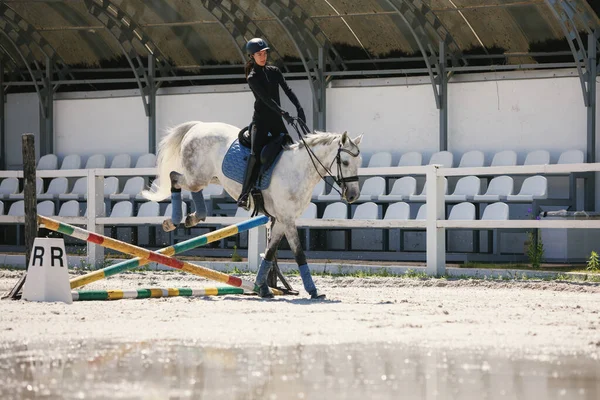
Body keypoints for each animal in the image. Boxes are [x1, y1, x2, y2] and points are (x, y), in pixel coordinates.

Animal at [143, 120, 364, 298]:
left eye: (359, 163)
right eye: (345, 162)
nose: (353, 195)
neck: (298, 170)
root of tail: (198, 125)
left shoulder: (282, 220)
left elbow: (269, 253)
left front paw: (262, 287)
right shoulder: (287, 219)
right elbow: (299, 253)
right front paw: (313, 291)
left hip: (209, 177)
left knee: (191, 187)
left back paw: (194, 217)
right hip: (197, 175)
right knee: (174, 178)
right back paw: (173, 220)